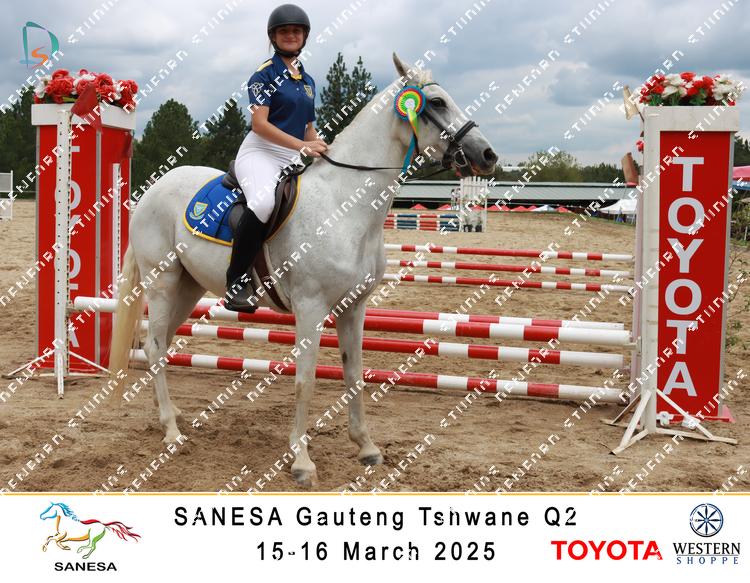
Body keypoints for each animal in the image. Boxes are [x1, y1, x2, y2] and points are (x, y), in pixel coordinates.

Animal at [108, 53, 498, 486]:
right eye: (439, 103)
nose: (487, 155)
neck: (345, 204)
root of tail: (153, 189)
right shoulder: (311, 308)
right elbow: (305, 381)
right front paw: (301, 460)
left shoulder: (354, 307)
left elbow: (354, 373)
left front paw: (366, 446)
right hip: (162, 282)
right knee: (155, 347)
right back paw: (172, 432)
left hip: (188, 287)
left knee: (160, 343)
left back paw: (173, 415)